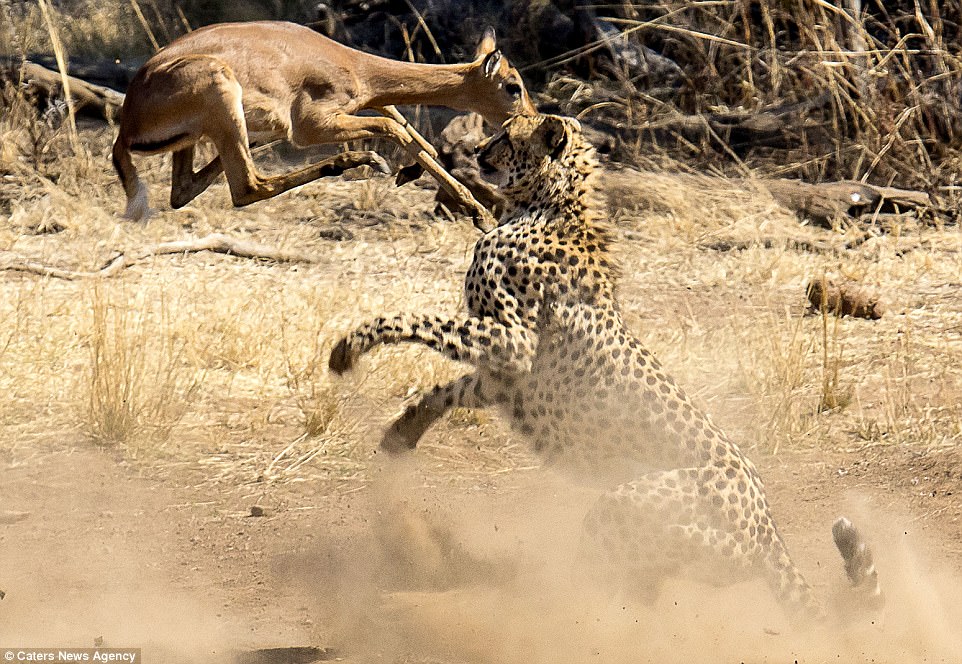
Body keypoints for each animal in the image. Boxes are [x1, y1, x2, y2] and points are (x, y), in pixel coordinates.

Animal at [326, 111, 880, 624]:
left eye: (507, 134)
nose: (478, 151)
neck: (547, 203)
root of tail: (767, 528)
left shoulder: (513, 341)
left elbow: (419, 320)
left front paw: (350, 347)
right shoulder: (505, 372)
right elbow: (448, 389)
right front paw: (402, 432)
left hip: (624, 506)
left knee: (600, 579)